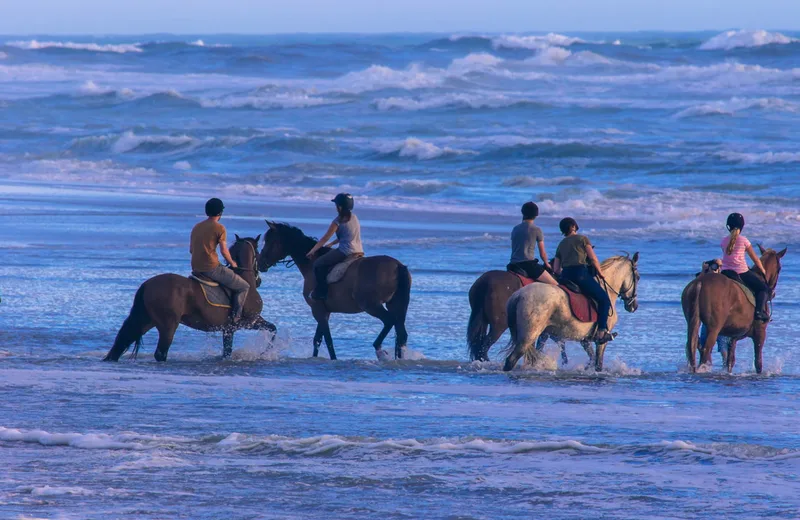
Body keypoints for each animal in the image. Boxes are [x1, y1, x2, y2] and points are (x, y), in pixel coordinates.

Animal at [101, 236, 276, 362]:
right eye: (258, 252)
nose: (263, 270)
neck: (246, 281)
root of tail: (147, 285)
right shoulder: (249, 321)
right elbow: (273, 328)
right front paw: (265, 352)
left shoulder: (228, 329)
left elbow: (227, 351)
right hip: (168, 324)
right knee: (160, 352)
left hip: (146, 320)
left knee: (123, 341)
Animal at [258, 221, 410, 360]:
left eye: (269, 241)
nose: (260, 264)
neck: (311, 264)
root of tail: (398, 266)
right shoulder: (324, 310)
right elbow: (317, 339)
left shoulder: (317, 310)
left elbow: (327, 339)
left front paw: (333, 358)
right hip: (395, 304)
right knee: (401, 332)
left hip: (371, 305)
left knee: (390, 321)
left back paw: (379, 349)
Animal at [504, 255, 640, 370]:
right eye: (638, 278)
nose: (634, 306)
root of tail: (518, 295)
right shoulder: (601, 341)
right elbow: (598, 363)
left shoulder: (584, 339)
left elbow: (591, 358)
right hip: (529, 335)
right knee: (511, 360)